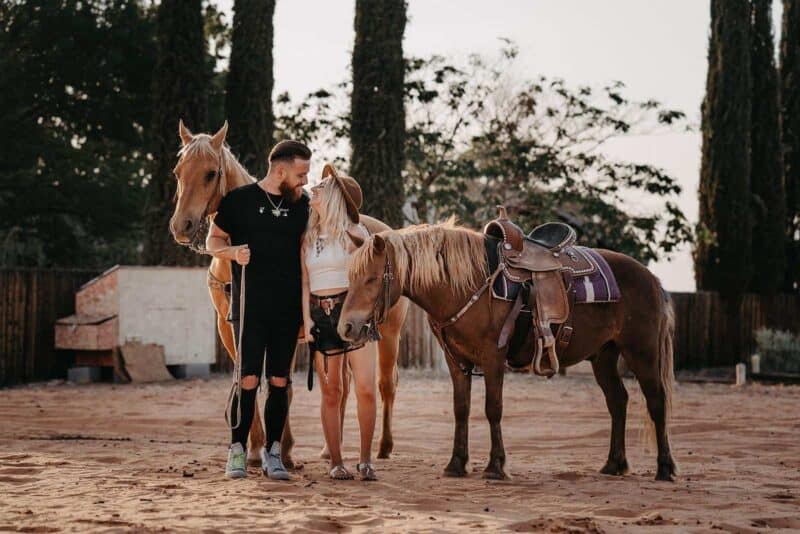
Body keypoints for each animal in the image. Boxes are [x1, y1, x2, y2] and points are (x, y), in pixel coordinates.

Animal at [168, 121, 409, 466]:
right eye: (178, 171)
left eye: (211, 173)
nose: (181, 227)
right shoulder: (233, 330)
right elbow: (247, 379)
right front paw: (256, 449)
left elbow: (283, 386)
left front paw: (284, 449)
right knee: (343, 385)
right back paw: (329, 449)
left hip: (388, 333)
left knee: (386, 384)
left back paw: (383, 446)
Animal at [338, 221, 677, 481]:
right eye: (350, 276)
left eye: (371, 278)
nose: (347, 328)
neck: (469, 284)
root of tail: (651, 278)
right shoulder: (456, 361)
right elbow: (461, 409)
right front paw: (456, 464)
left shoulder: (493, 358)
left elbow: (493, 408)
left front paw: (495, 466)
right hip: (604, 356)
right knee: (618, 401)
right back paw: (613, 465)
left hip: (642, 352)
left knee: (656, 402)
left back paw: (665, 468)